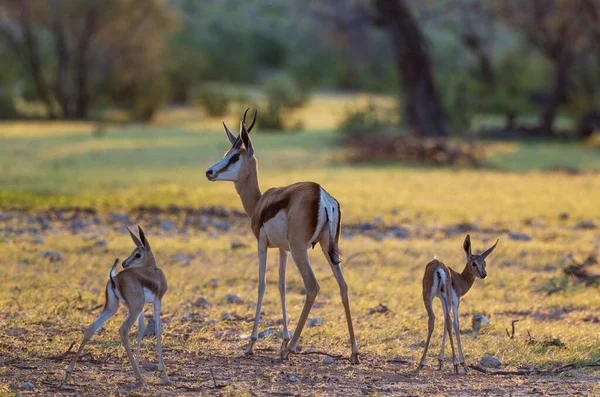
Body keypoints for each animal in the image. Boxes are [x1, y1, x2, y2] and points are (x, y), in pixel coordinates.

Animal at [205, 109, 360, 362]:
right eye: (227, 153)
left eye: (234, 157)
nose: (209, 172)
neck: (259, 203)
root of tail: (322, 194)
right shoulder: (282, 249)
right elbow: (281, 285)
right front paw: (282, 341)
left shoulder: (262, 244)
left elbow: (262, 284)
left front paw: (252, 344)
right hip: (327, 248)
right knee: (343, 286)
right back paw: (354, 353)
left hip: (301, 250)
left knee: (313, 286)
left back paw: (290, 349)